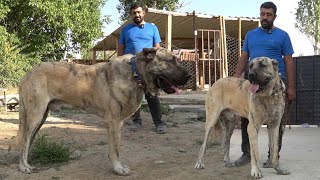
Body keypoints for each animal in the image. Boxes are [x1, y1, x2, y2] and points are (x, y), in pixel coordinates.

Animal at [13, 47, 191, 176]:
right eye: (172, 61)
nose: (189, 76)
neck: (135, 74)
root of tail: (27, 74)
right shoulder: (113, 121)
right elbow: (116, 149)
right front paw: (118, 168)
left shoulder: (117, 123)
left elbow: (116, 147)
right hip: (35, 116)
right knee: (25, 141)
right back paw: (24, 167)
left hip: (41, 117)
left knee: (27, 141)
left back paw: (25, 162)